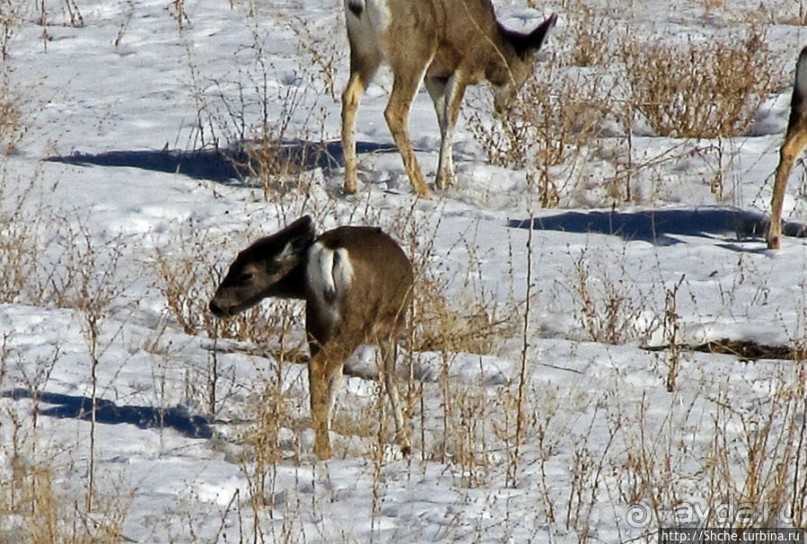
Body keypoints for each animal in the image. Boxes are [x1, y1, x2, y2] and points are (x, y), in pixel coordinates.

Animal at [208, 216, 414, 460]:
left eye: (245, 274)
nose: (214, 305)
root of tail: (330, 251)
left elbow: (338, 379)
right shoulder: (391, 330)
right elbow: (390, 381)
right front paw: (405, 444)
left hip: (316, 320)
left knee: (324, 369)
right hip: (356, 321)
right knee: (318, 365)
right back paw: (325, 450)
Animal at [340, 0, 556, 199]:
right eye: (526, 75)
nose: (505, 108)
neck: (488, 47)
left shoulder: (435, 77)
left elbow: (443, 121)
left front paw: (449, 178)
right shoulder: (462, 66)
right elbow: (451, 119)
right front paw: (442, 181)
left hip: (364, 47)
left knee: (349, 97)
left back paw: (351, 186)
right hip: (413, 52)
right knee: (395, 111)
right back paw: (422, 189)